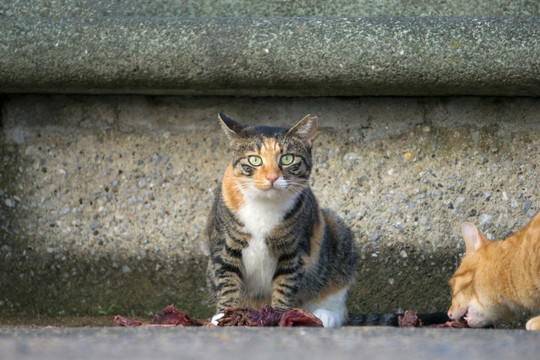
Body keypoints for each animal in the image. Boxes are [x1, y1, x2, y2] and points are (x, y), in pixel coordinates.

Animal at [207, 114, 358, 328]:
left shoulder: (294, 251)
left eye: (287, 158)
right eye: (254, 159)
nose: (272, 177)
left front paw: (278, 315)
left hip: (338, 234)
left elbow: (285, 284)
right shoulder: (224, 245)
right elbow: (227, 280)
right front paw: (224, 316)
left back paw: (323, 316)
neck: (264, 206)